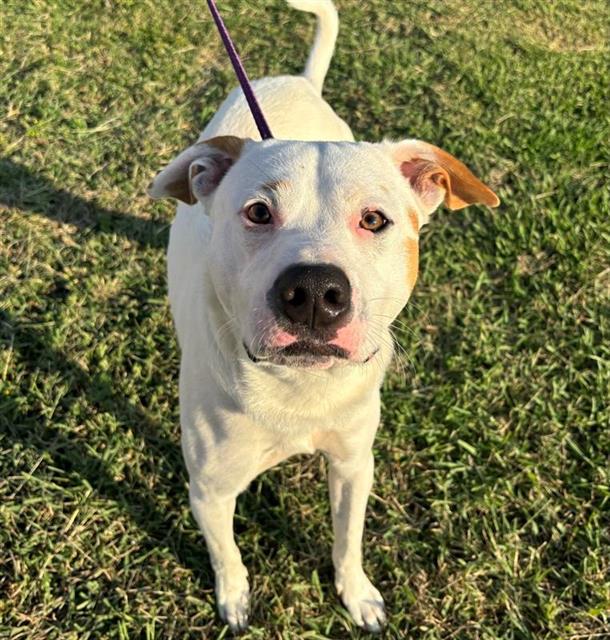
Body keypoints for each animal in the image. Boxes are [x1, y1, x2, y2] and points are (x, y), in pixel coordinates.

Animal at [148, 0, 498, 632]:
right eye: (258, 212)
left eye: (375, 219)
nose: (313, 291)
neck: (298, 390)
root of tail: (298, 81)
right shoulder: (209, 489)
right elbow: (226, 553)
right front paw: (234, 599)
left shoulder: (355, 463)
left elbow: (347, 539)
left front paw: (357, 594)